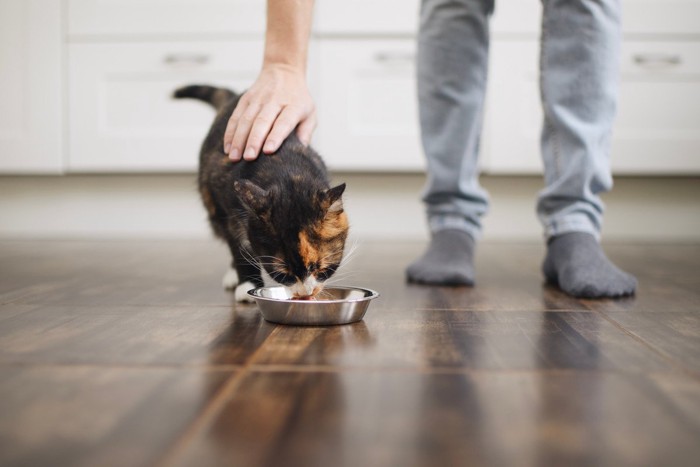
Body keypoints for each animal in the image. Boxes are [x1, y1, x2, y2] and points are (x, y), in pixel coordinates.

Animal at [175, 85, 350, 302]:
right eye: (283, 275)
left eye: (319, 268)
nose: (305, 294)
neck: (286, 172)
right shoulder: (229, 209)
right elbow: (239, 247)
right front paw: (247, 285)